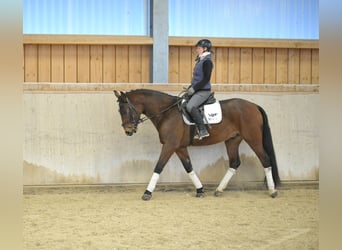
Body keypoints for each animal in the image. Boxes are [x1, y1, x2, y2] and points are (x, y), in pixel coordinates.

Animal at [113, 89, 280, 200]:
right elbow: (189, 167)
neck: (167, 113)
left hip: (253, 139)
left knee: (265, 160)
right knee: (234, 162)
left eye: (125, 110)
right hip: (233, 140)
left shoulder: (169, 145)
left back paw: (272, 191)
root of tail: (254, 106)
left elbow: (159, 167)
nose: (128, 131)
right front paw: (200, 190)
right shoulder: (179, 147)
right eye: (119, 111)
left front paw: (147, 193)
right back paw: (219, 190)